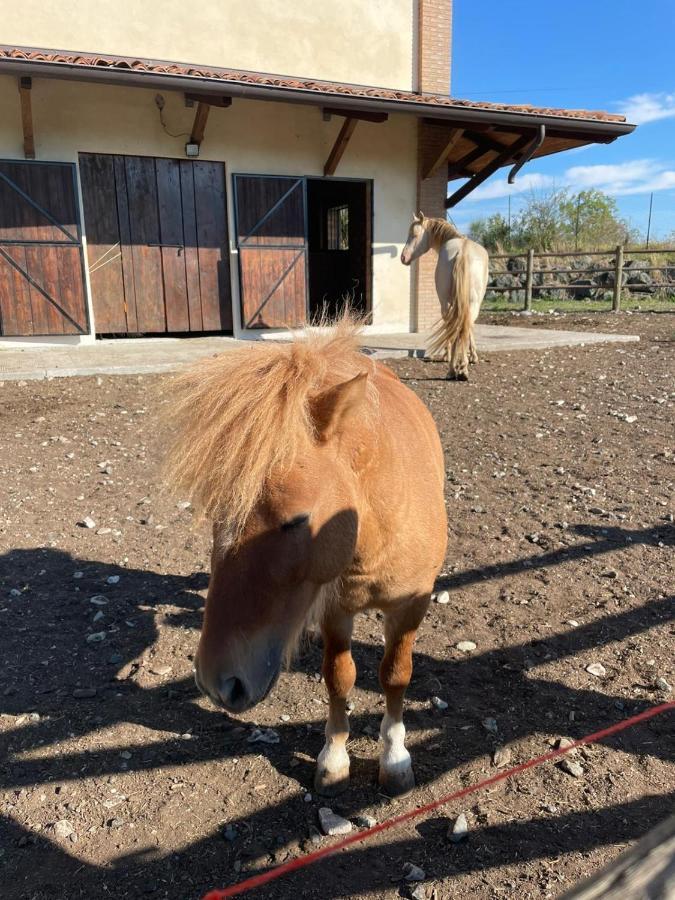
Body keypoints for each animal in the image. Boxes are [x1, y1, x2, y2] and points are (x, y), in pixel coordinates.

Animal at [166, 318, 446, 796]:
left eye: (297, 519)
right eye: (215, 515)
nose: (217, 683)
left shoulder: (411, 605)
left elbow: (395, 674)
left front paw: (394, 759)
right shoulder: (335, 610)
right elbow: (339, 676)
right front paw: (333, 758)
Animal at [402, 213, 492, 378]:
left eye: (415, 235)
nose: (403, 257)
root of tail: (462, 252)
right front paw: (471, 356)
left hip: (448, 304)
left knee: (457, 326)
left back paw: (455, 368)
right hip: (469, 304)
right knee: (463, 325)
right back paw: (459, 368)